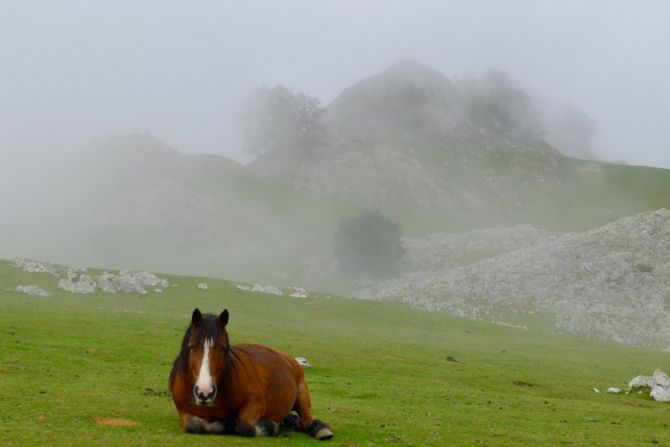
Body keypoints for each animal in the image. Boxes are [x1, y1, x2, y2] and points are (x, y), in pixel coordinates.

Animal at [169, 308, 334, 440]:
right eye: (192, 346)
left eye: (222, 348)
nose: (205, 392)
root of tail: (287, 358)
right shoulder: (183, 411)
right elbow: (193, 425)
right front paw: (225, 423)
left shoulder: (256, 402)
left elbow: (244, 425)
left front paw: (269, 426)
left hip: (302, 394)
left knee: (306, 419)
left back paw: (320, 430)